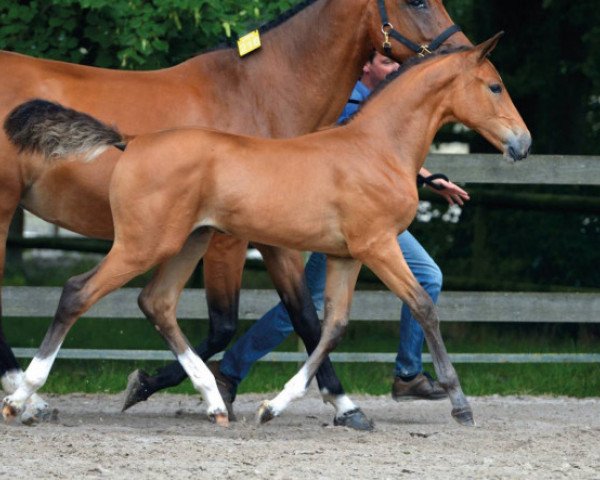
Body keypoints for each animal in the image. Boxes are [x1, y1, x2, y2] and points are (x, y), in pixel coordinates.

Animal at [1, 36, 528, 428]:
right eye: (494, 86)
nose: (522, 143)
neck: (375, 147)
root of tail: (131, 141)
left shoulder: (347, 255)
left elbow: (331, 326)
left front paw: (278, 406)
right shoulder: (377, 246)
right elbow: (422, 307)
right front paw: (459, 404)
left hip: (187, 242)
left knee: (157, 303)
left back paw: (212, 401)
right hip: (142, 244)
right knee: (77, 292)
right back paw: (23, 397)